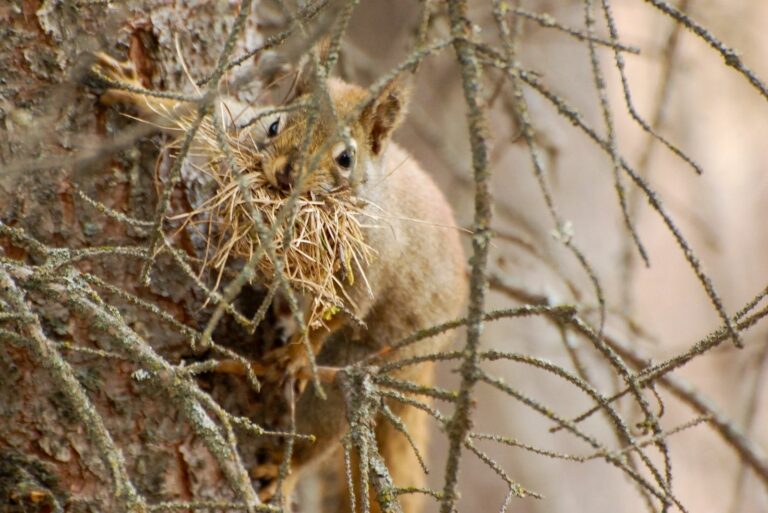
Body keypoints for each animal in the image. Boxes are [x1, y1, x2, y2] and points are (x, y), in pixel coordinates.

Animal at [88, 50, 468, 513]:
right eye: (274, 125)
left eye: (346, 158)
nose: (288, 173)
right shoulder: (237, 134)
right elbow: (199, 120)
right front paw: (133, 90)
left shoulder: (370, 262)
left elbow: (342, 311)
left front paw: (298, 354)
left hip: (371, 353)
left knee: (324, 423)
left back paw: (284, 465)